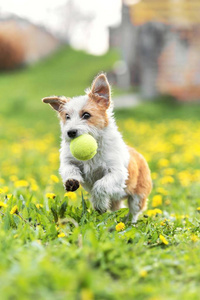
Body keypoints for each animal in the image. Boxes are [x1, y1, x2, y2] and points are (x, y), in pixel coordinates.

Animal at [42, 73, 152, 223]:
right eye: (67, 116)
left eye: (86, 115)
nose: (70, 132)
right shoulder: (68, 161)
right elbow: (69, 168)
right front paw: (71, 181)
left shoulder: (117, 172)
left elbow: (101, 185)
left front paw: (99, 203)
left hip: (138, 196)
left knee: (133, 212)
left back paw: (130, 223)